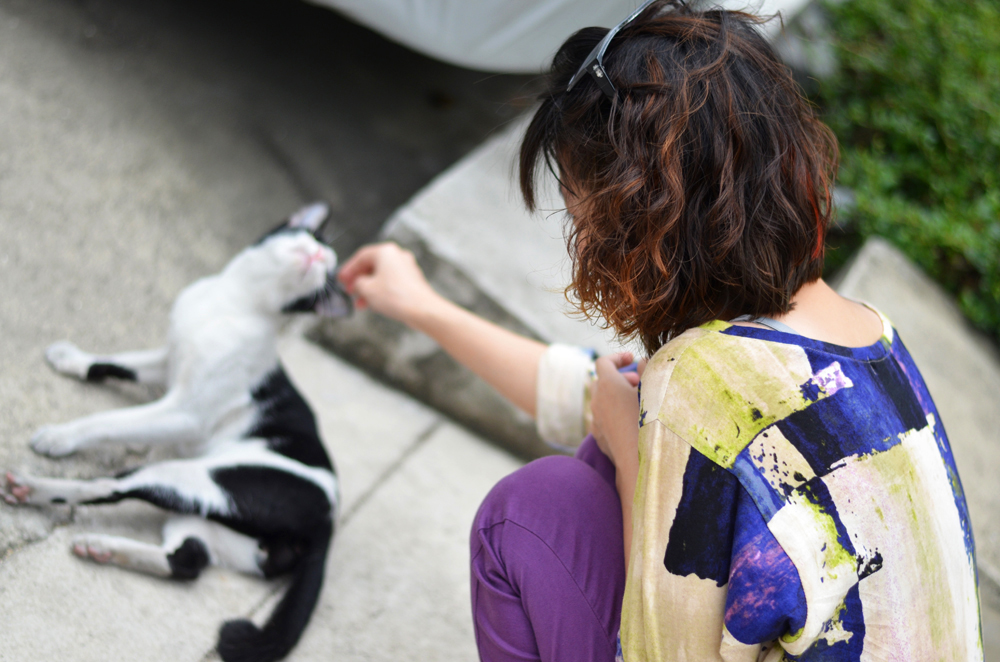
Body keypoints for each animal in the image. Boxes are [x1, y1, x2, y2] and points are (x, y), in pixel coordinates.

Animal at [3, 202, 352, 662]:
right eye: (312, 242)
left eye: (327, 275)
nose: (318, 257)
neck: (232, 301)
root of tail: (329, 519)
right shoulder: (167, 358)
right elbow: (115, 362)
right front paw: (70, 359)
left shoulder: (185, 412)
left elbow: (111, 422)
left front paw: (61, 436)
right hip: (208, 520)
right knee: (188, 560)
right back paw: (107, 548)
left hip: (199, 478)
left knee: (109, 487)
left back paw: (33, 488)